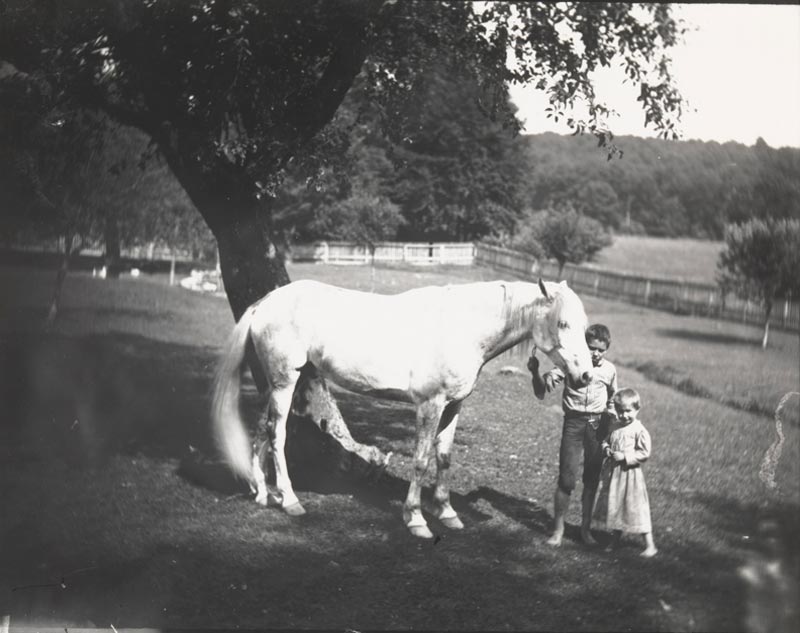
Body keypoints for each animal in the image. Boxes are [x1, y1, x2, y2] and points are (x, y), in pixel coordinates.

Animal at [212, 278, 592, 540]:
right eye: (563, 324)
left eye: (585, 326)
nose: (586, 375)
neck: (461, 328)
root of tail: (265, 302)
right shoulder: (429, 406)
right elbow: (421, 460)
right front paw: (416, 519)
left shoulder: (453, 406)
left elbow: (444, 457)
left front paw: (448, 513)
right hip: (285, 382)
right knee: (278, 434)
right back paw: (289, 500)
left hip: (279, 383)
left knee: (262, 429)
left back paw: (262, 493)